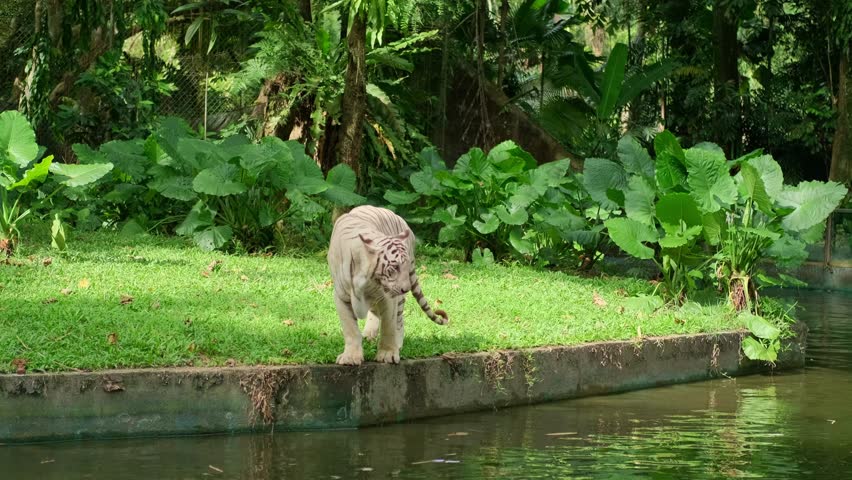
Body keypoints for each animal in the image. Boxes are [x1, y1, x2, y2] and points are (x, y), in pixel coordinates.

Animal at [327, 205, 448, 365]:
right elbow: (350, 328)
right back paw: (369, 335)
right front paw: (350, 357)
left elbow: (388, 326)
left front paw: (388, 354)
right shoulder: (341, 296)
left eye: (406, 266)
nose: (406, 288)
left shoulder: (388, 296)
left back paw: (398, 342)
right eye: (395, 267)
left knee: (398, 320)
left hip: (398, 300)